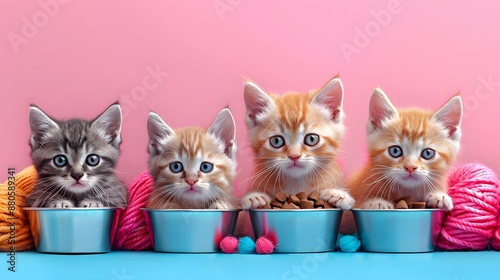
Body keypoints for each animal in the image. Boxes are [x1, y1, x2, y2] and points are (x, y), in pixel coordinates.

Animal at [240, 77, 354, 209]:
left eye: (311, 139)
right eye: (276, 141)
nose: (294, 156)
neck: (296, 184)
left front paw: (337, 194)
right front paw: (254, 196)